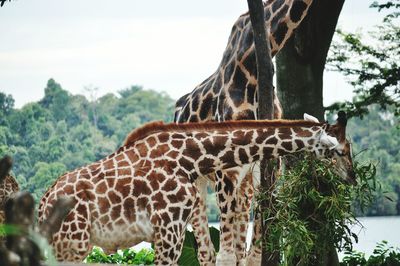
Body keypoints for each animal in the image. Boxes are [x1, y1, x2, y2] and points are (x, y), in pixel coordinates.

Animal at [38, 112, 356, 266]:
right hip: (73, 245)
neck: (190, 158)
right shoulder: (168, 230)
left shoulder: (173, 232)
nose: (352, 177)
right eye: (340, 151)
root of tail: (42, 205)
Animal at [175, 0, 316, 264]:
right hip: (196, 182)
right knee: (205, 251)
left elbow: (253, 254)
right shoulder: (226, 169)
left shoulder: (267, 166)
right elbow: (226, 256)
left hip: (243, 184)